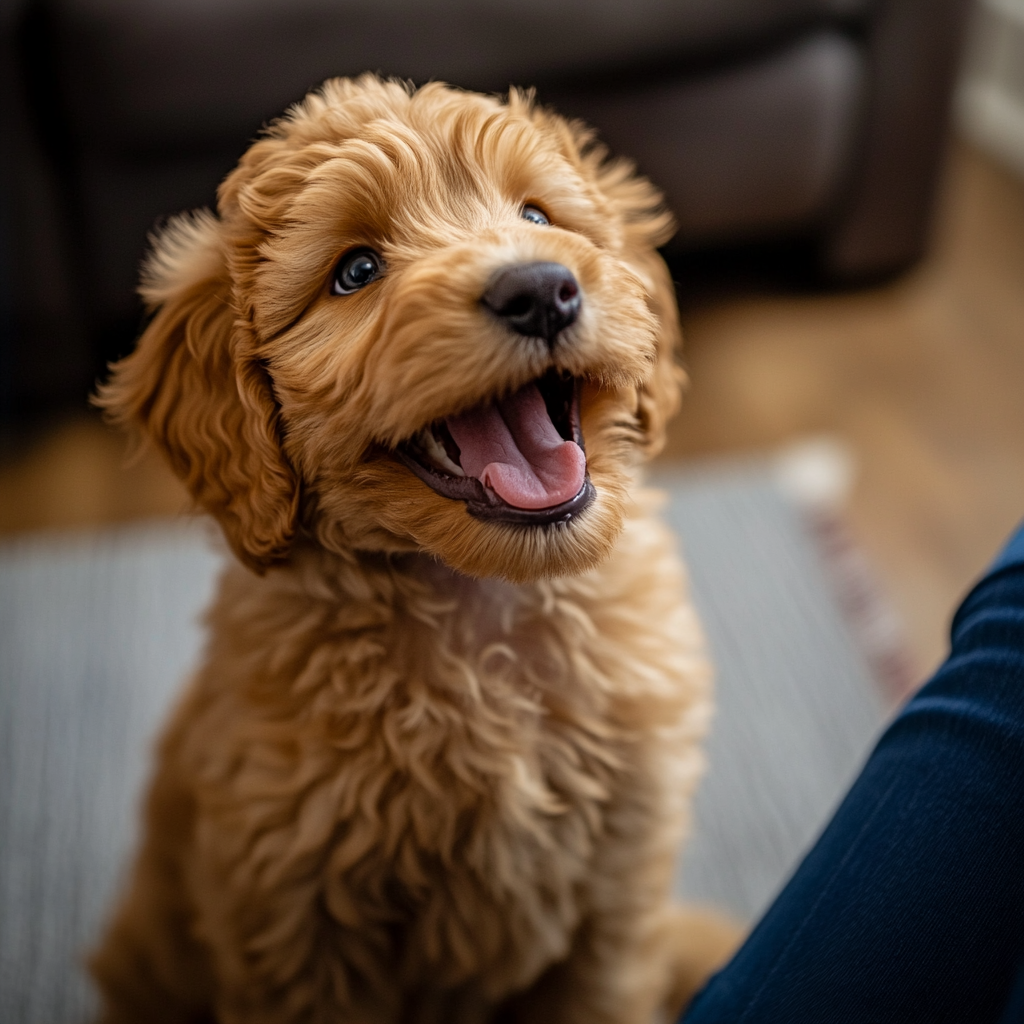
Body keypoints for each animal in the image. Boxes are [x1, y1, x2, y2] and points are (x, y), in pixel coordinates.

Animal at [90, 75, 737, 1019]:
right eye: (356, 272)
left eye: (537, 214)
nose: (540, 290)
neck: (485, 601)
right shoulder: (297, 917)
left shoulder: (618, 888)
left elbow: (605, 988)